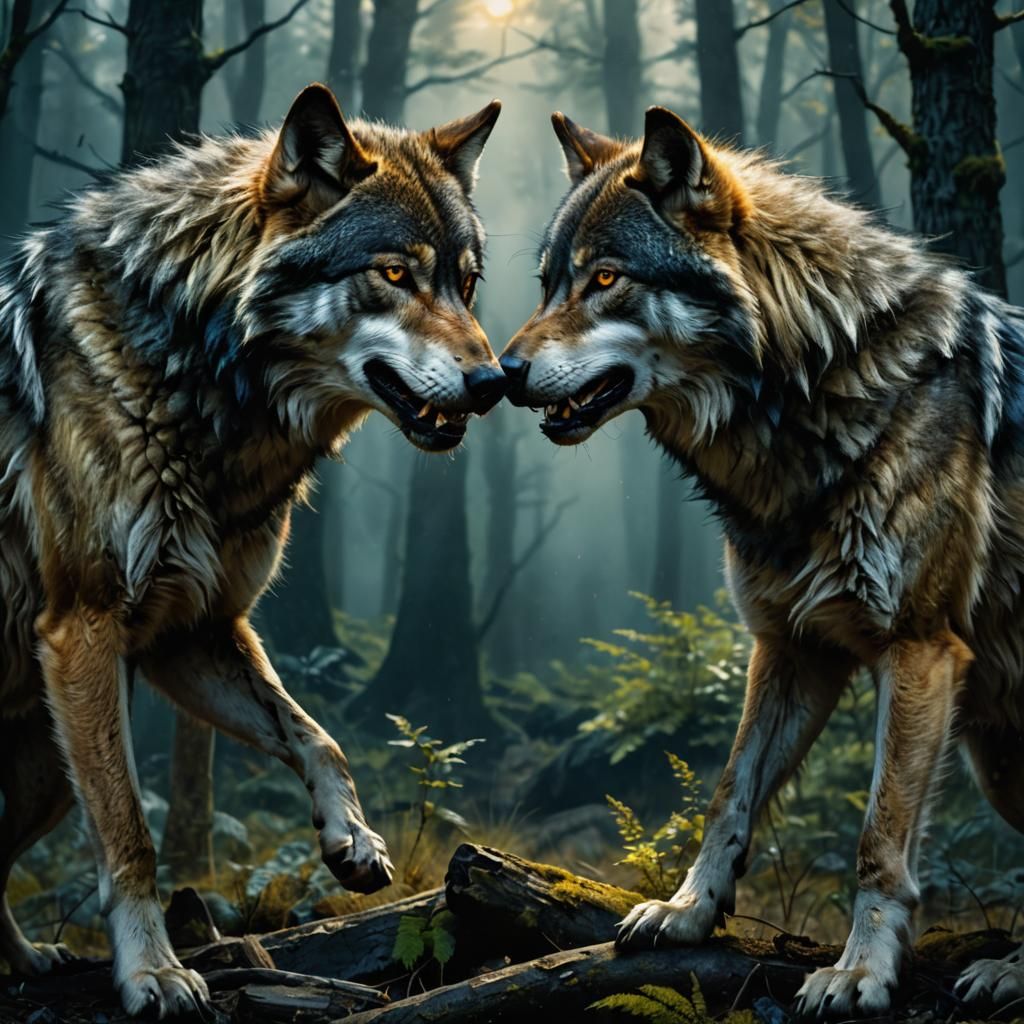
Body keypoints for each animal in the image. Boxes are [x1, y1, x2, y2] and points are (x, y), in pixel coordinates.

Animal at [0, 83, 506, 1018]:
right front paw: (154, 973)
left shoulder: (189, 633)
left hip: (45, 775)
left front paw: (353, 840)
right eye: (394, 274)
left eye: (466, 282)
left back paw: (28, 959)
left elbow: (316, 736)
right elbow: (130, 832)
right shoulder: (84, 628)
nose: (496, 384)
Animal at [501, 105, 1024, 1016]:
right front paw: (685, 911)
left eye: (605, 279)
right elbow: (727, 794)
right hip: (995, 754)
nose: (500, 371)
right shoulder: (790, 647)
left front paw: (858, 972)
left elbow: (877, 836)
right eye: (549, 282)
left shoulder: (918, 651)